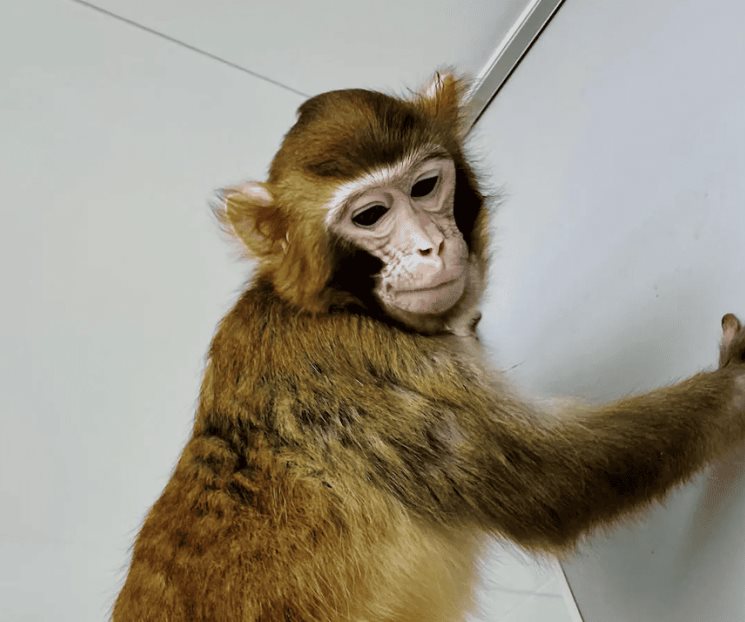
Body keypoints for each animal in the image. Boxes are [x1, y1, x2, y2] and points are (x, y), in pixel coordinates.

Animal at [113, 73, 745, 622]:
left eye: (424, 186)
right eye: (371, 215)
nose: (429, 245)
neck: (335, 307)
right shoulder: (362, 366)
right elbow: (553, 481)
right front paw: (736, 385)